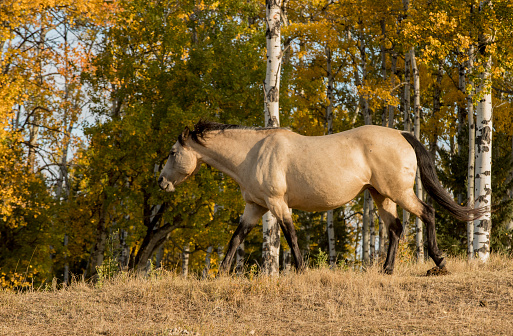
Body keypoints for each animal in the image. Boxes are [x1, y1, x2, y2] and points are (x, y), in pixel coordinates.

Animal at [159, 120, 484, 272]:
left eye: (173, 153)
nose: (161, 183)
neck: (254, 153)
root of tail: (401, 134)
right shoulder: (255, 207)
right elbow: (236, 237)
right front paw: (221, 272)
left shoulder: (277, 204)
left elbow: (290, 236)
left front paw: (301, 269)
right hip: (381, 196)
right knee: (395, 228)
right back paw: (387, 269)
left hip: (400, 193)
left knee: (427, 213)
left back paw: (439, 262)